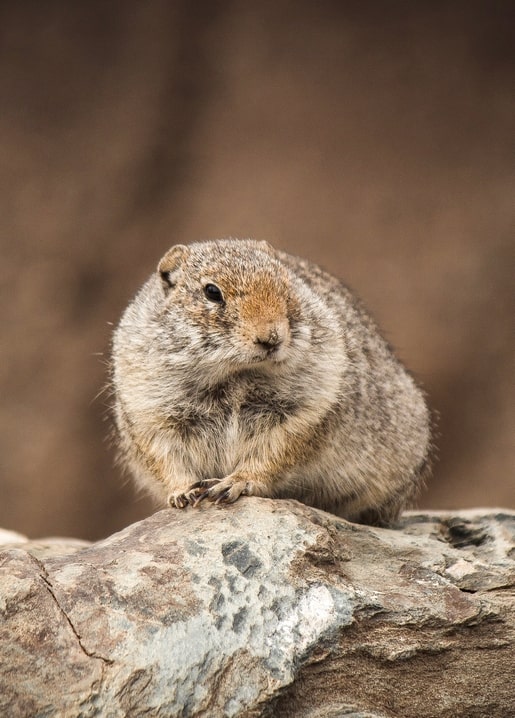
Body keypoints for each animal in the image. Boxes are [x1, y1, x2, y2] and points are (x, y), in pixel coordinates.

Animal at [112, 239, 432, 524]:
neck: (235, 375)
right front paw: (184, 493)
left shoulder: (305, 411)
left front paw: (233, 484)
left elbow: (271, 455)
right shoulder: (151, 412)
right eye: (212, 292)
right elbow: (168, 460)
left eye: (287, 286)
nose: (272, 338)